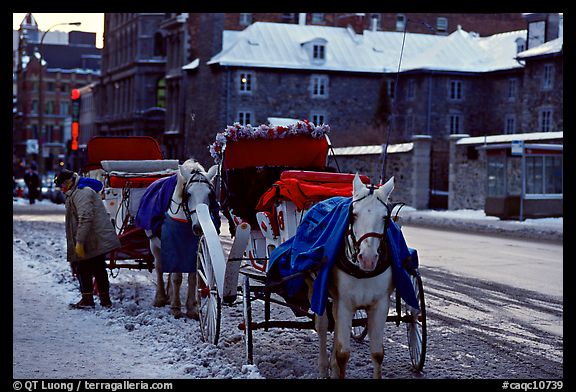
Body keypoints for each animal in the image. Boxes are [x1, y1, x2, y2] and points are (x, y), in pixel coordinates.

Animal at [145, 158, 217, 318]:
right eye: (188, 194)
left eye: (210, 194)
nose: (199, 227)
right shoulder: (174, 245)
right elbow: (177, 277)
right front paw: (176, 307)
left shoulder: (194, 249)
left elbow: (192, 277)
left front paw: (192, 308)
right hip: (155, 244)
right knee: (159, 267)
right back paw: (160, 297)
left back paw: (170, 294)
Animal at [316, 175, 396, 380]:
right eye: (354, 214)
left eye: (385, 217)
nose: (367, 259)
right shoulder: (344, 303)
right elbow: (343, 354)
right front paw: (336, 365)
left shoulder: (380, 304)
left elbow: (377, 353)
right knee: (322, 325)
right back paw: (323, 367)